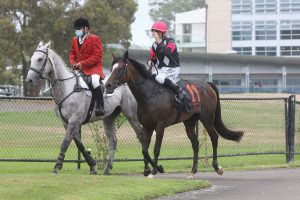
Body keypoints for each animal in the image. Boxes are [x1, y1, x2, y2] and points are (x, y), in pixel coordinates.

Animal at [25, 41, 142, 175]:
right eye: (32, 59)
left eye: (39, 59)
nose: (29, 80)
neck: (66, 87)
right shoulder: (67, 122)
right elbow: (79, 144)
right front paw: (92, 166)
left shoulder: (74, 121)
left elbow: (65, 143)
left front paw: (57, 167)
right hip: (109, 118)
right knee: (113, 140)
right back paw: (107, 169)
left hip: (131, 115)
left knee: (140, 134)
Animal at [105, 51, 244, 177]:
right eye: (111, 68)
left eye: (120, 69)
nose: (108, 85)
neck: (150, 94)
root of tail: (207, 84)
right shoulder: (147, 126)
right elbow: (144, 149)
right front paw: (153, 169)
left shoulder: (160, 126)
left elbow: (156, 148)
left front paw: (155, 170)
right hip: (190, 121)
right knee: (195, 143)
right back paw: (193, 170)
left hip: (207, 118)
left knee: (214, 137)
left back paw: (217, 167)